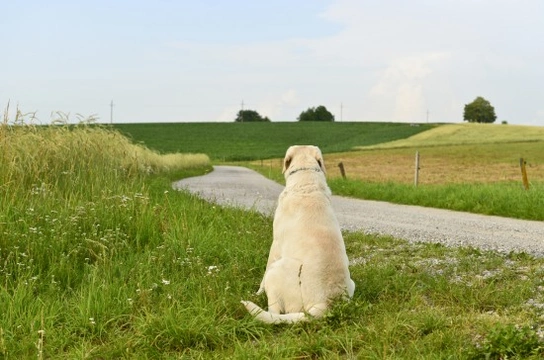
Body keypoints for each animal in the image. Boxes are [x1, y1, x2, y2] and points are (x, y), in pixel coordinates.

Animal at [241, 146, 352, 324]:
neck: (306, 178)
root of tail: (326, 304)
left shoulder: (276, 245)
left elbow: (264, 272)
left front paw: (258, 291)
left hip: (276, 271)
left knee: (274, 313)